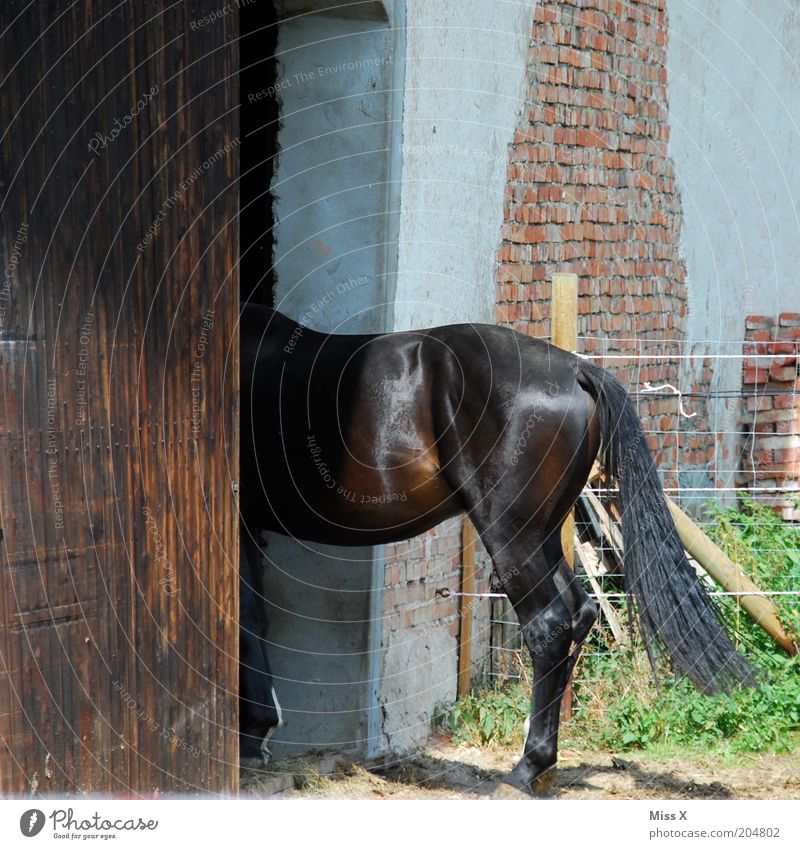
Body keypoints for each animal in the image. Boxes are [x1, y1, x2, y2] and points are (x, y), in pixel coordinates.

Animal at [239, 304, 756, 788]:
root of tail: (575, 370)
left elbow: (247, 615)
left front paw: (254, 735)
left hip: (508, 533)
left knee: (549, 625)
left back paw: (527, 768)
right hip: (539, 535)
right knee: (579, 611)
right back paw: (540, 762)